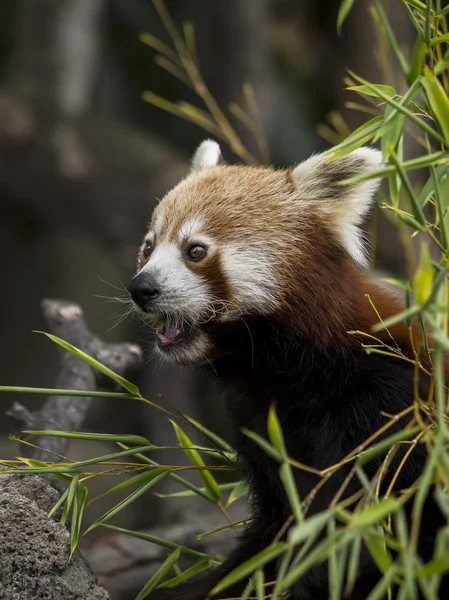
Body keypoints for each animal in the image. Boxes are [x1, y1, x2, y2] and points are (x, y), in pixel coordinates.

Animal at [128, 142, 446, 600]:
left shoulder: (391, 409)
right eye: (149, 246)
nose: (142, 288)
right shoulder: (262, 422)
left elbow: (357, 531)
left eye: (195, 251)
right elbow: (279, 527)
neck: (296, 368)